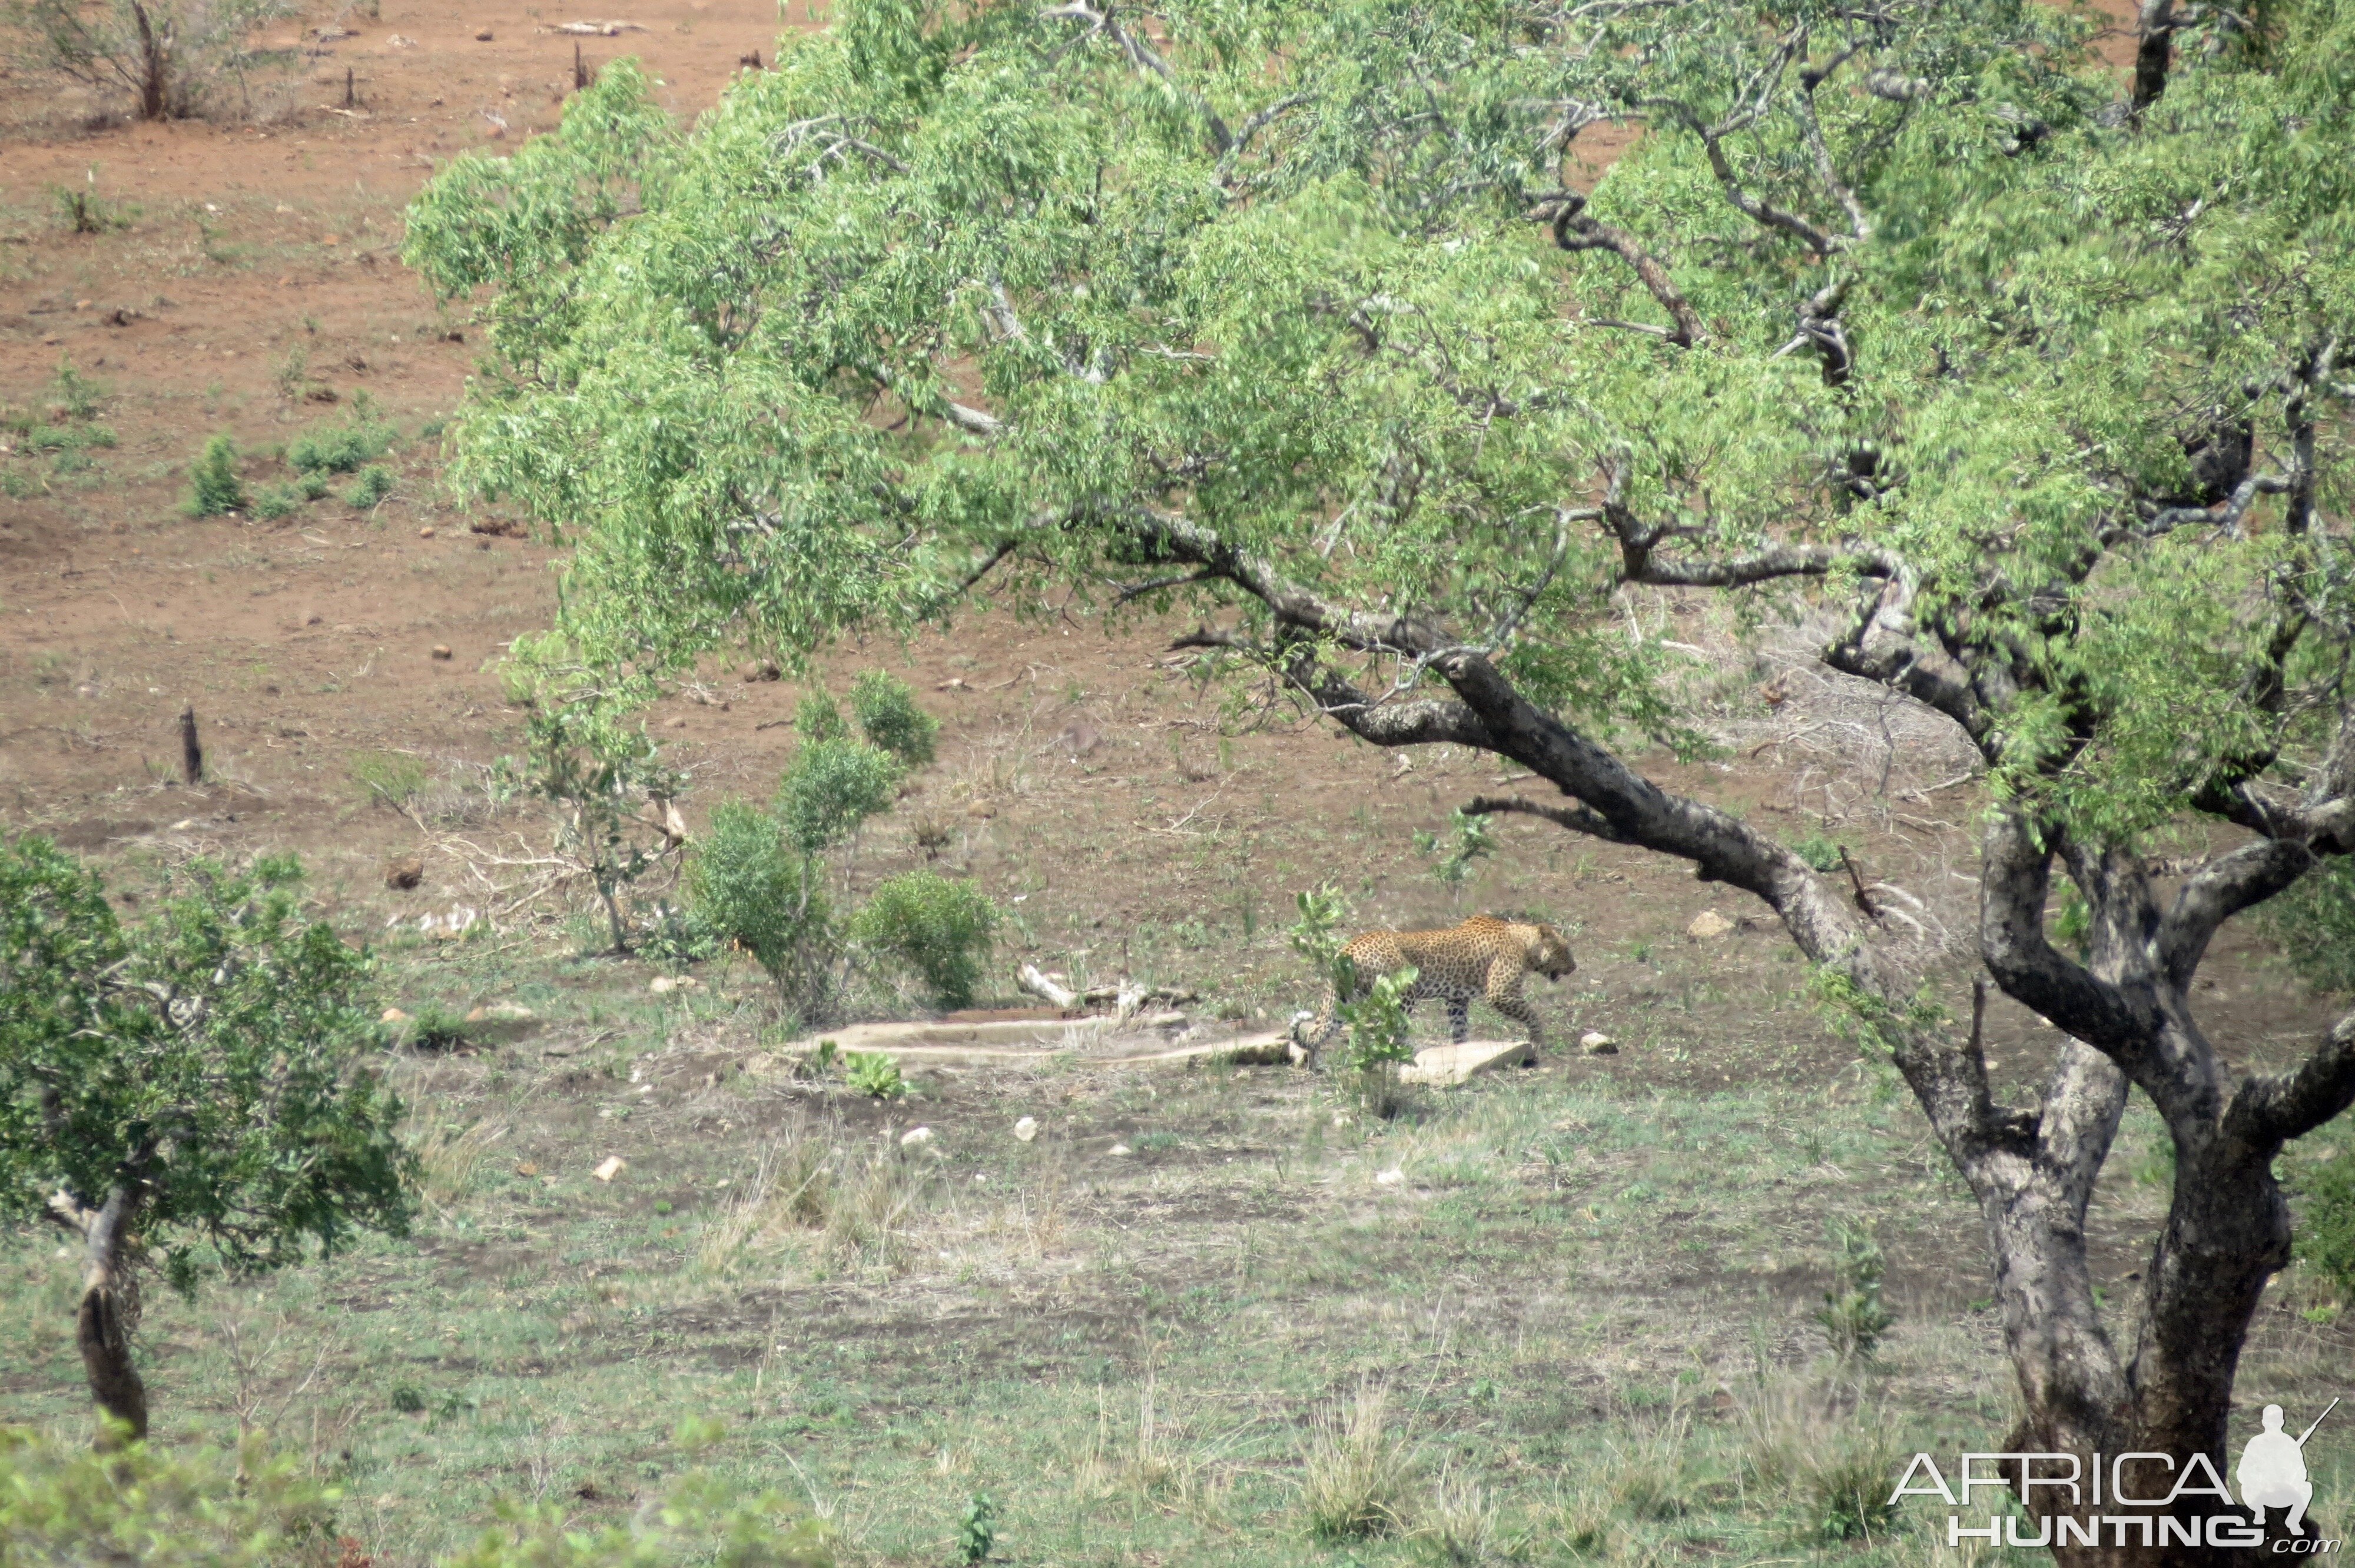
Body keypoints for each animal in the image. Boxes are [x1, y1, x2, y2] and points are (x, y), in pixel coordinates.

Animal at [1300, 909, 1573, 1069]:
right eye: (1566, 949)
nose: (1575, 967)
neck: (1524, 944)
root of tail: (1348, 949)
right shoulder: (1500, 993)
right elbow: (1531, 1014)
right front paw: (1537, 1040)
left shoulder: (1457, 999)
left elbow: (1460, 1028)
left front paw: (1461, 1052)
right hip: (1402, 995)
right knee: (1394, 1032)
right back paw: (1405, 1058)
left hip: (1343, 1000)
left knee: (1316, 1031)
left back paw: (1313, 1066)